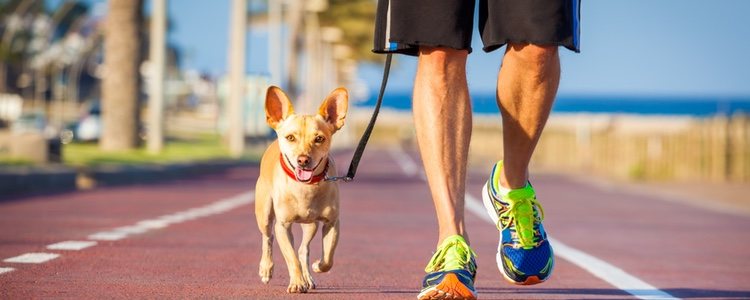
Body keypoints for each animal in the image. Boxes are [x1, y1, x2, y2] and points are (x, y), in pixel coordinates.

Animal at [253, 86, 346, 292]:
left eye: (319, 138)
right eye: (290, 138)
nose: (303, 160)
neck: (305, 188)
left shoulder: (332, 222)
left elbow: (328, 257)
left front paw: (317, 266)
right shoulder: (283, 226)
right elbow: (291, 258)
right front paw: (296, 283)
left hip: (310, 225)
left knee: (304, 249)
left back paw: (308, 277)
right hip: (264, 214)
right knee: (267, 238)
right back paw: (266, 269)